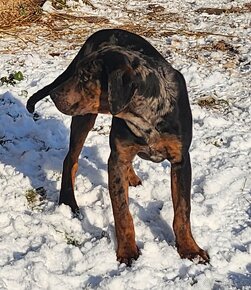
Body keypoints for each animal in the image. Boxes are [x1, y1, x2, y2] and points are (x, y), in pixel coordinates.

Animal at [26, 28, 209, 266]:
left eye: (86, 77)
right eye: (78, 73)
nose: (55, 95)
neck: (144, 116)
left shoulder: (181, 160)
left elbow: (182, 210)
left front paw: (190, 249)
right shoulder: (117, 158)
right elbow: (122, 212)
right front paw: (128, 251)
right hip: (84, 118)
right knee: (71, 159)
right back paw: (69, 201)